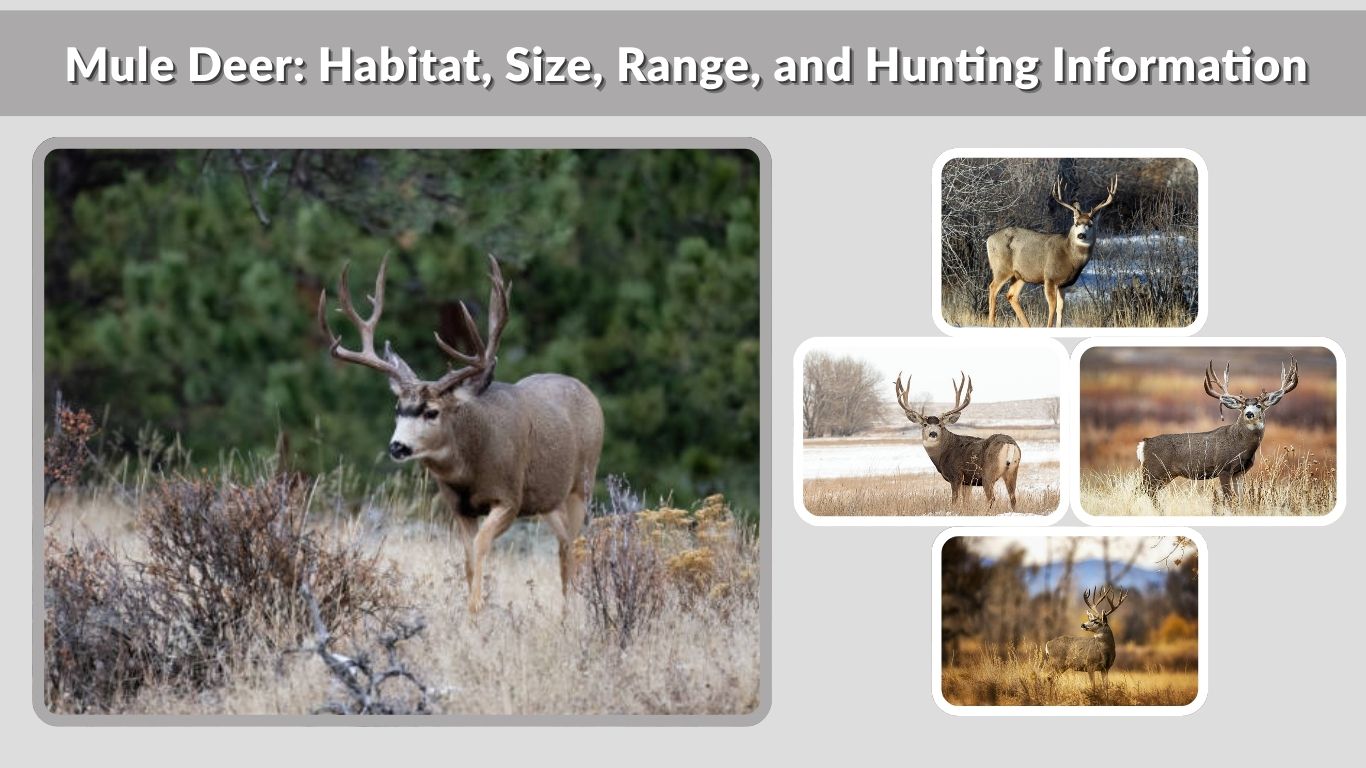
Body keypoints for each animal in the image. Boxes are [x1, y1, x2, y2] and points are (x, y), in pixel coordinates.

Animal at [317, 254, 604, 613]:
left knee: (575, 545)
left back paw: (573, 612)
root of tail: (589, 393)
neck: (470, 469)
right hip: (547, 501)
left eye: (431, 411)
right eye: (398, 408)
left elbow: (481, 546)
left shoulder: (510, 497)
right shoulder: (459, 507)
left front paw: (474, 611)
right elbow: (467, 558)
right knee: (564, 544)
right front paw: (472, 609)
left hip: (582, 483)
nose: (397, 446)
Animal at [892, 371, 1022, 510]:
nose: (933, 433)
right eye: (925, 424)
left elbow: (954, 501)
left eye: (941, 425)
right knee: (1013, 498)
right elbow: (966, 502)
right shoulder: (967, 481)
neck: (944, 452)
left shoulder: (956, 476)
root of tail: (1009, 444)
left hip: (988, 473)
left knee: (991, 498)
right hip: (1013, 470)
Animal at [985, 175, 1118, 328]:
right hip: (1001, 267)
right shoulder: (1049, 277)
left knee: (1011, 295)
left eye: (1090, 224)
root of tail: (989, 239)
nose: (1081, 235)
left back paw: (1027, 326)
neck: (1069, 255)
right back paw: (991, 323)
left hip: (1020, 275)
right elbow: (1052, 306)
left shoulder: (1063, 284)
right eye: (1076, 223)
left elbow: (1061, 308)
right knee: (993, 288)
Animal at [1137, 357, 1298, 505]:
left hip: (1162, 474)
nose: (1249, 414)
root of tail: (1144, 444)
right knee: (1142, 490)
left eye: (1258, 405)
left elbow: (1240, 498)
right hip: (1154, 470)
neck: (1240, 446)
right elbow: (1228, 498)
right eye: (1243, 407)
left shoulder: (1240, 472)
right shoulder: (1223, 468)